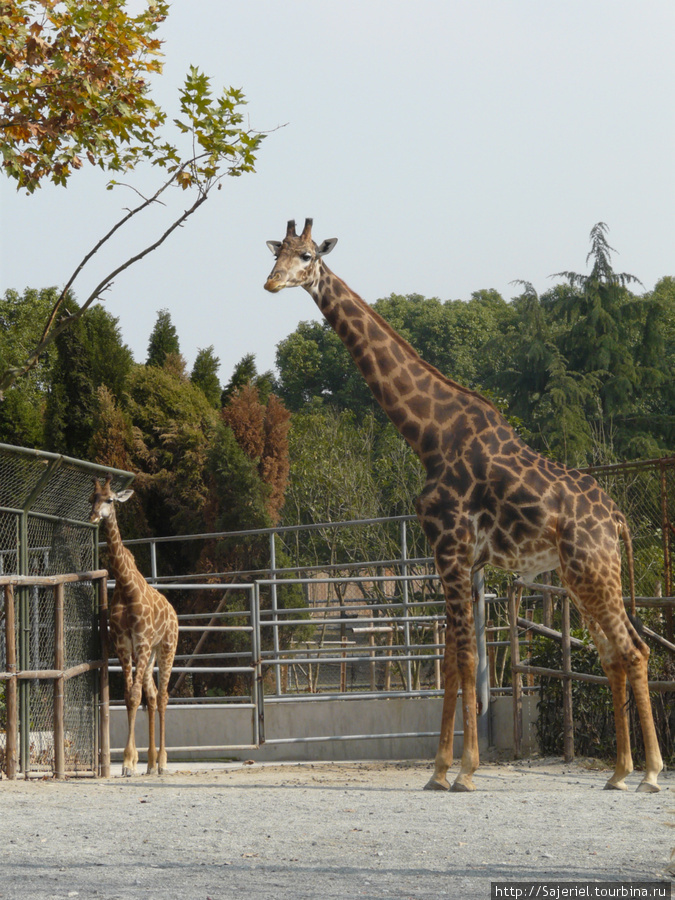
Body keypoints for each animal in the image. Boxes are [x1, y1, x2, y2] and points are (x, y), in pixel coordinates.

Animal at [90, 474, 180, 776]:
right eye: (91, 498)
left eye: (110, 499)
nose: (94, 517)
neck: (127, 587)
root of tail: (174, 613)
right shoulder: (123, 646)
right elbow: (131, 697)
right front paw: (131, 761)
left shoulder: (140, 642)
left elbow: (133, 695)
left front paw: (129, 761)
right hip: (150, 654)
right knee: (152, 696)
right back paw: (151, 763)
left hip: (166, 648)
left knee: (162, 697)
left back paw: (162, 762)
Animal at [266, 218, 664, 796]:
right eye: (277, 253)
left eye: (308, 255)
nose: (272, 282)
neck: (428, 435)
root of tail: (617, 517)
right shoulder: (460, 557)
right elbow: (453, 659)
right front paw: (438, 771)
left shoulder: (450, 546)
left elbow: (465, 653)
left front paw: (467, 771)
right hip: (581, 575)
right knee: (614, 655)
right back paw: (619, 773)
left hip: (593, 569)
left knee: (633, 650)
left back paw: (651, 774)